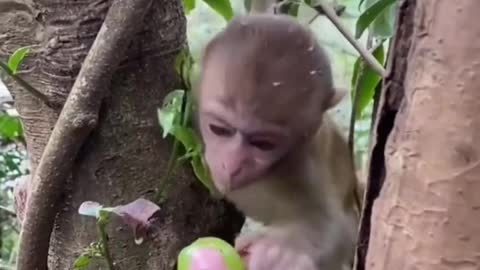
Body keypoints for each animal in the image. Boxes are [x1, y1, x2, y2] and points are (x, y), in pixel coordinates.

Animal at [194, 14, 356, 270]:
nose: (231, 165)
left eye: (263, 144)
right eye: (219, 129)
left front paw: (282, 252)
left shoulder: (301, 165)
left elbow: (333, 227)